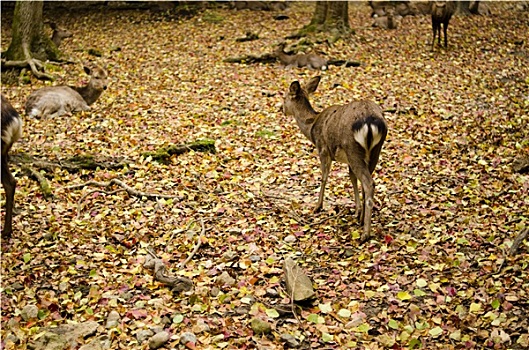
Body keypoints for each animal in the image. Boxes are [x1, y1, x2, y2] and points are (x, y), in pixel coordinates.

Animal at [280, 76, 388, 242]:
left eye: (284, 97)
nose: (282, 109)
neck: (311, 127)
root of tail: (370, 122)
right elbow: (352, 179)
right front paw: (358, 212)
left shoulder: (323, 149)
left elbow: (324, 177)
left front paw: (317, 206)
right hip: (374, 151)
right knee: (368, 181)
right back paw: (363, 221)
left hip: (353, 149)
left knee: (368, 183)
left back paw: (365, 234)